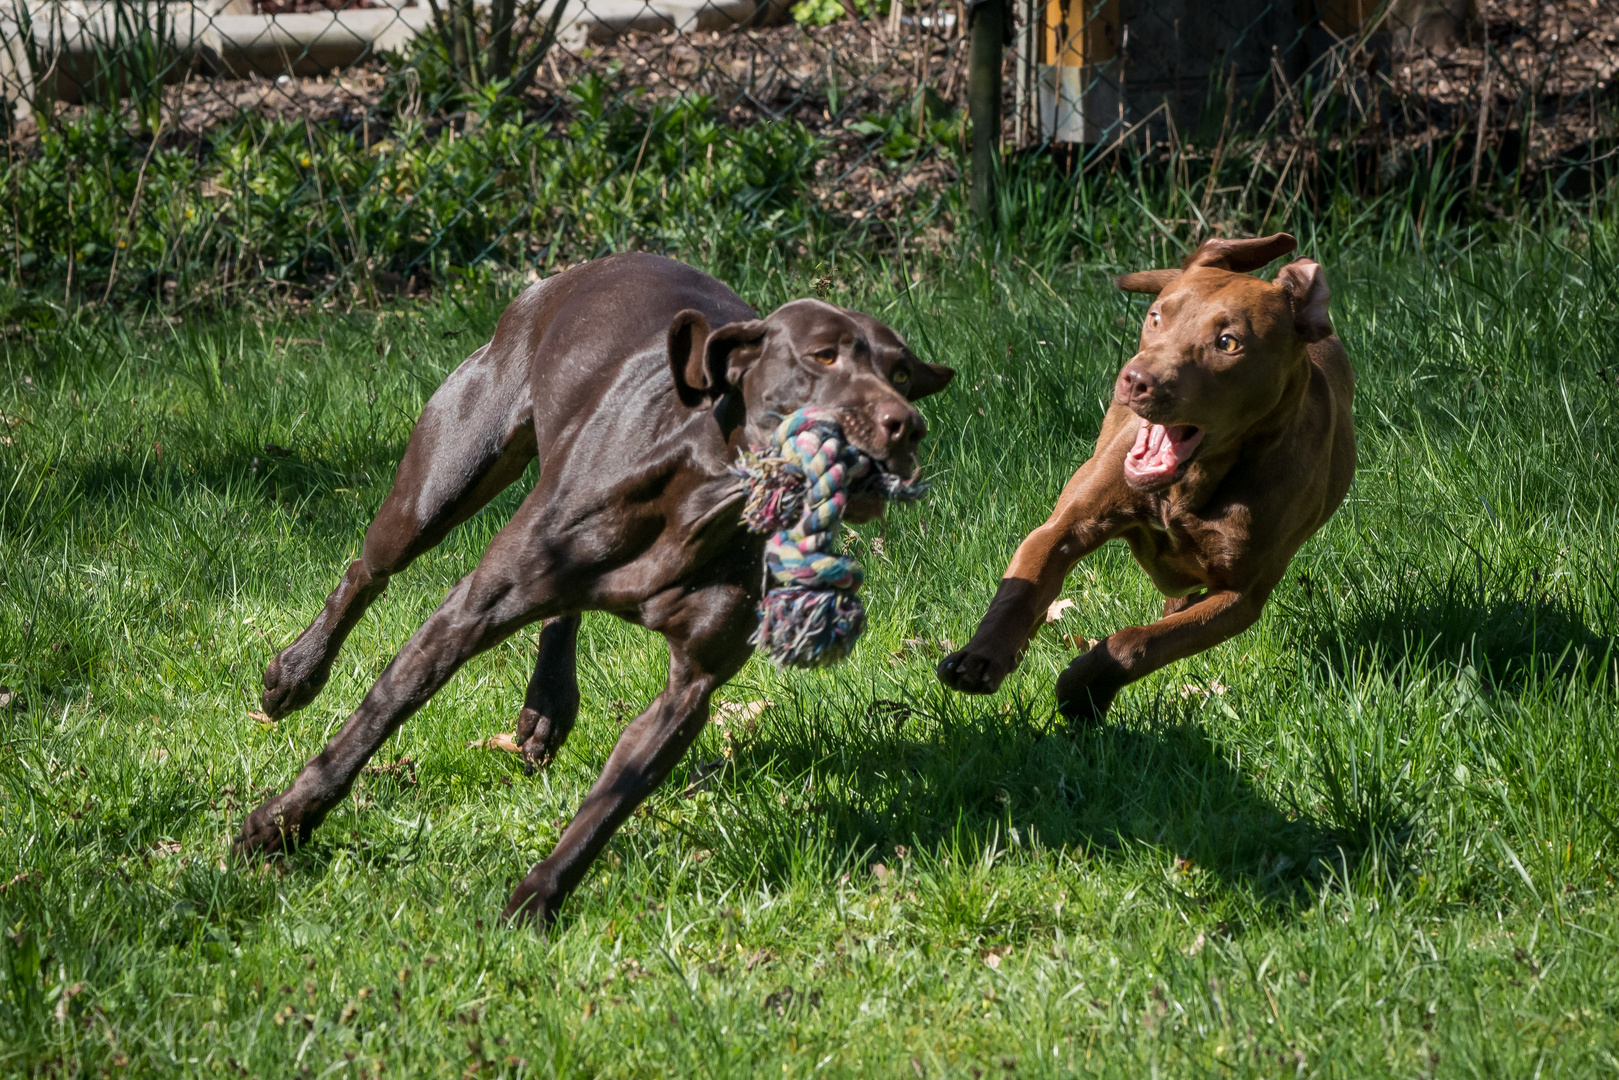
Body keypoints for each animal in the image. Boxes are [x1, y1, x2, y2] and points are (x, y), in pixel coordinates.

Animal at [939, 233, 1353, 722]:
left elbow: (1142, 642)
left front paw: (1082, 689)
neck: (1191, 483)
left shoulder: (1239, 596)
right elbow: (1021, 589)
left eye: (1228, 342)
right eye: (1156, 317)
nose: (1135, 380)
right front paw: (981, 656)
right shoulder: (1065, 526)